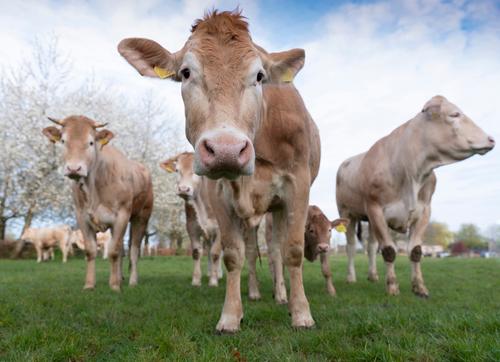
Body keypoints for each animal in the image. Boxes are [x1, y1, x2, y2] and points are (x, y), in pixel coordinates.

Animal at [42, 116, 153, 292]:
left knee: (134, 249)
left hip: (141, 216)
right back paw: (120, 277)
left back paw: (132, 281)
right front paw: (89, 284)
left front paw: (114, 286)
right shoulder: (82, 216)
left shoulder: (121, 216)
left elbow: (113, 251)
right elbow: (91, 251)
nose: (74, 168)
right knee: (122, 249)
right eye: (63, 140)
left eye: (91, 142)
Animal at [160, 151, 223, 288]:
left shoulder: (220, 229)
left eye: (197, 170)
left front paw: (213, 281)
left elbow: (216, 253)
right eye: (177, 170)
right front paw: (196, 280)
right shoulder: (192, 227)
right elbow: (196, 252)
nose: (183, 189)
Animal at [338, 96, 494, 296]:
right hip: (346, 213)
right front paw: (392, 287)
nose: (491, 139)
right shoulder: (375, 209)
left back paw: (373, 276)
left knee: (371, 246)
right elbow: (389, 250)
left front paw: (419, 287)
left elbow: (415, 251)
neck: (411, 172)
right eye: (455, 114)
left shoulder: (424, 211)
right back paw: (351, 277)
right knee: (350, 246)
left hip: (369, 221)